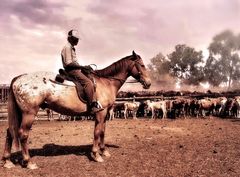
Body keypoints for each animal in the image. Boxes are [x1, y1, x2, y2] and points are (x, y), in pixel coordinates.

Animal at [1, 50, 151, 169]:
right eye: (142, 65)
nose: (148, 83)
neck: (106, 82)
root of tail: (19, 78)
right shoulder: (101, 113)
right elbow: (97, 132)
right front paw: (96, 154)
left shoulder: (105, 114)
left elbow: (102, 132)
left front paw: (103, 151)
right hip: (29, 113)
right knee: (23, 134)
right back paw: (29, 162)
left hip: (20, 113)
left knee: (10, 132)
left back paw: (7, 161)